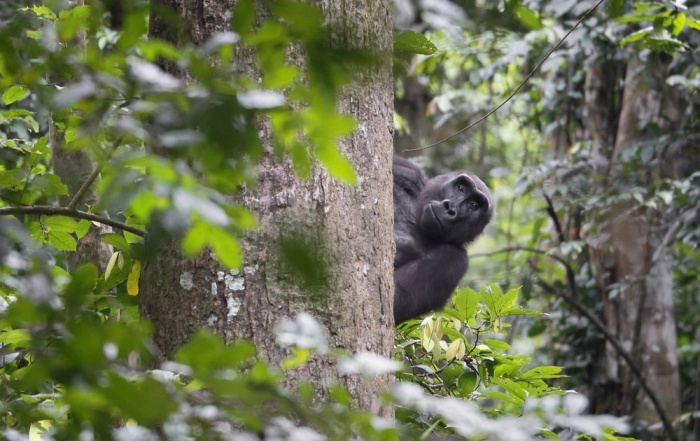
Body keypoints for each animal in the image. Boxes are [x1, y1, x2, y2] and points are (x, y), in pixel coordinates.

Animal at [392, 156, 494, 322]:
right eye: (460, 188)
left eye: (473, 205)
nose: (451, 208)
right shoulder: (409, 171)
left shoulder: (456, 259)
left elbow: (395, 298)